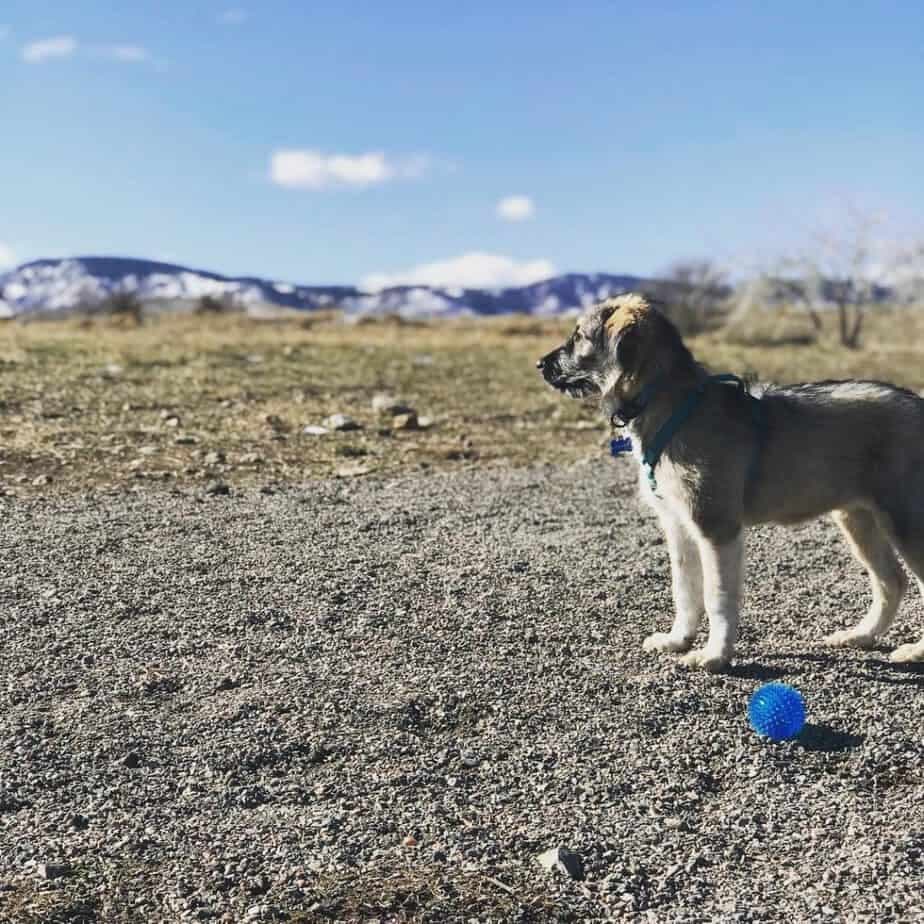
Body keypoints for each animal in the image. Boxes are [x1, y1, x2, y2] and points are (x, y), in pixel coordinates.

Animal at [536, 294, 924, 672]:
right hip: (858, 518)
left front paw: (714, 655)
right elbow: (685, 590)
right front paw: (678, 640)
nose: (540, 364)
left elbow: (716, 597)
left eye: (579, 337)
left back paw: (913, 651)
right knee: (892, 581)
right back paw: (861, 635)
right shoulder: (678, 525)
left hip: (905, 522)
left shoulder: (716, 527)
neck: (670, 405)